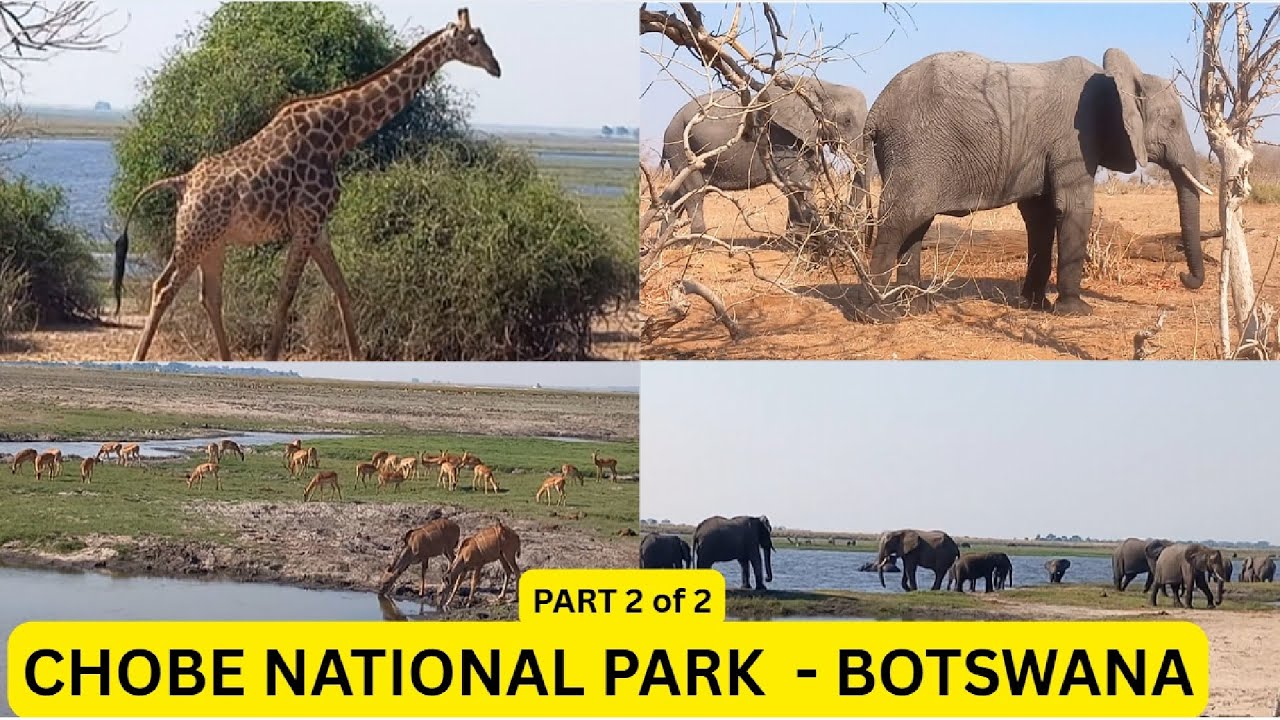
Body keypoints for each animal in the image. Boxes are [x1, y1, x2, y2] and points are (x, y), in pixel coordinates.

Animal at [112, 8, 502, 362]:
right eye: (473, 40)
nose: (496, 67)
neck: (340, 134)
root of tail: (183, 182)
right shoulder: (306, 221)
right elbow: (287, 294)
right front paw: (271, 358)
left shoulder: (319, 225)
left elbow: (341, 288)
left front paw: (357, 358)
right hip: (196, 236)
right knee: (164, 288)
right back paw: (138, 359)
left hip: (212, 241)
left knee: (209, 296)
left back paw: (226, 360)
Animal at [660, 75, 868, 237]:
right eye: (847, 121)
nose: (848, 224)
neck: (823, 85)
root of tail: (668, 127)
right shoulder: (781, 136)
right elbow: (800, 180)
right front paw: (809, 236)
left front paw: (798, 237)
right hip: (680, 145)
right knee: (694, 192)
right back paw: (700, 241)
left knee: (677, 194)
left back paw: (665, 241)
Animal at [859, 48, 1210, 317]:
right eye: (1172, 122)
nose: (1184, 276)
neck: (1116, 80)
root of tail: (876, 110)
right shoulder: (1074, 138)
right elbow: (1074, 208)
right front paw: (1076, 311)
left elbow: (1040, 216)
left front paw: (1035, 305)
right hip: (915, 148)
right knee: (899, 220)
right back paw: (880, 314)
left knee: (916, 223)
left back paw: (918, 308)